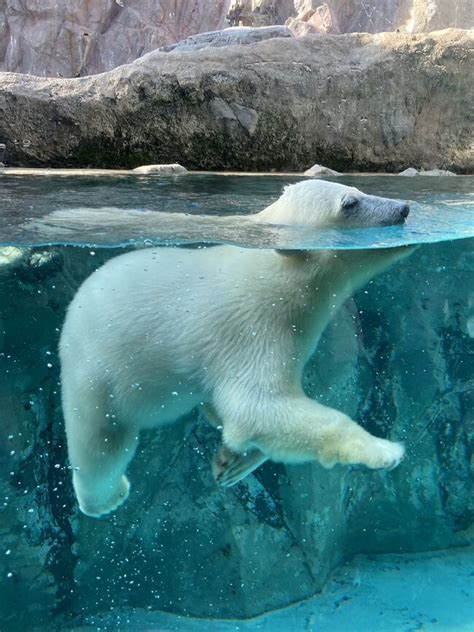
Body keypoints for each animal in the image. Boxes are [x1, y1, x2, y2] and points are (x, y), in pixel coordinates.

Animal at [60, 179, 412, 520]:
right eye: (349, 203)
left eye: (359, 189)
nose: (404, 208)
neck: (282, 272)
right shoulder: (255, 326)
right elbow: (257, 406)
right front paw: (383, 450)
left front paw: (234, 461)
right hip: (99, 371)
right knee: (100, 443)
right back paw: (105, 498)